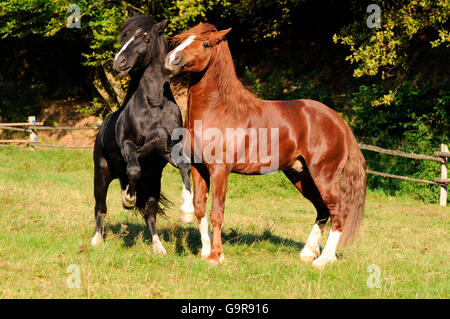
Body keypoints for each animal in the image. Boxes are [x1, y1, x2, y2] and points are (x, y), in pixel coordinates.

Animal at [91, 15, 193, 255]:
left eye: (146, 39)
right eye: (124, 37)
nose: (118, 62)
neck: (155, 105)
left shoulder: (168, 151)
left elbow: (186, 167)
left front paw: (187, 212)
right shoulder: (129, 146)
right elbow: (134, 170)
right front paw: (127, 200)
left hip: (154, 181)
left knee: (150, 213)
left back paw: (158, 247)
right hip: (101, 175)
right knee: (100, 207)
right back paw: (96, 240)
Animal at [165, 23, 366, 268]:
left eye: (205, 43)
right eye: (184, 38)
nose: (171, 59)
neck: (219, 110)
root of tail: (340, 122)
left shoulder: (220, 171)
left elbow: (217, 212)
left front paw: (216, 256)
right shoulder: (198, 168)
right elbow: (199, 208)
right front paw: (205, 251)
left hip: (324, 176)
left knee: (339, 212)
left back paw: (324, 259)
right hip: (301, 175)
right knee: (322, 209)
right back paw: (308, 253)